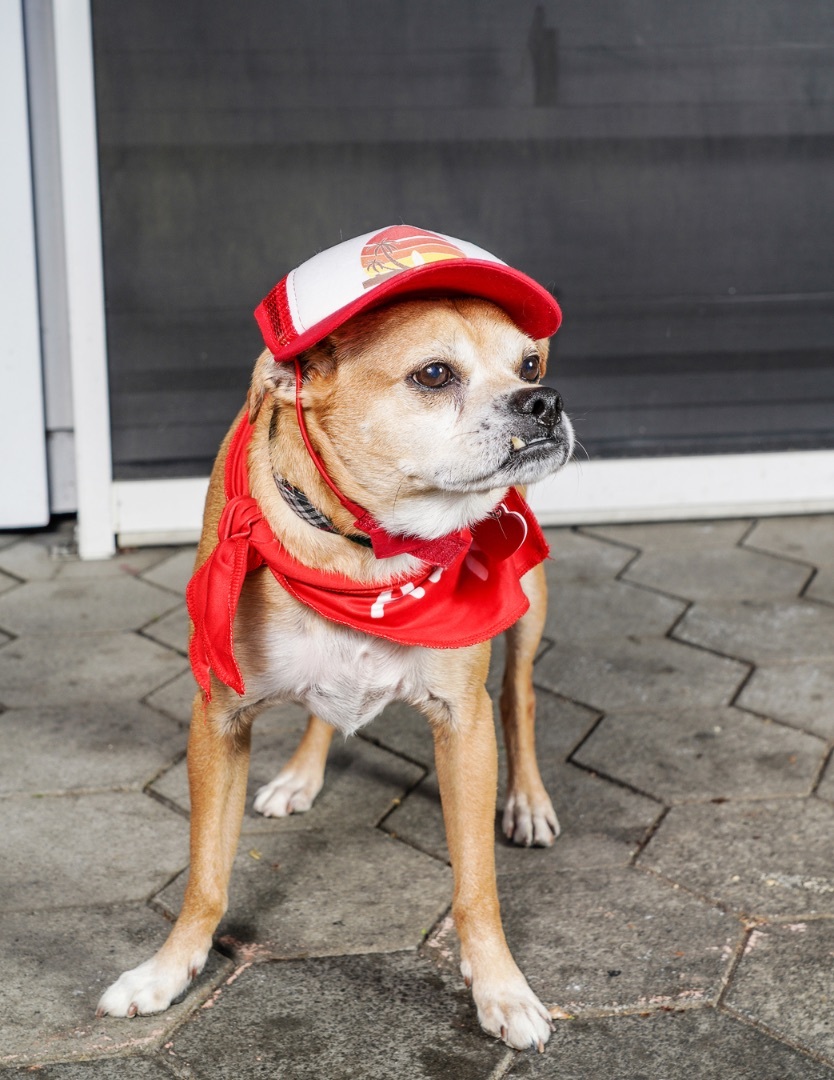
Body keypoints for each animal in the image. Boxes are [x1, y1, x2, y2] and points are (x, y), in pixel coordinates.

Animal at [97, 293, 574, 1045]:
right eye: (434, 374)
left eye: (529, 363)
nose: (546, 400)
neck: (362, 552)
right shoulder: (217, 723)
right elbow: (205, 878)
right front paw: (167, 971)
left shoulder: (463, 729)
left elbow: (477, 888)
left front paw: (501, 988)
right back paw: (300, 776)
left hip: (528, 599)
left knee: (518, 696)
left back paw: (527, 801)